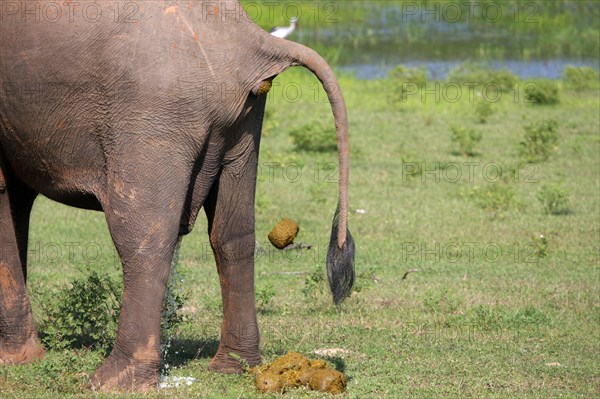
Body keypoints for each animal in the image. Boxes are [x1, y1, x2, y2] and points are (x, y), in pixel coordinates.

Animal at [0, 0, 354, 394]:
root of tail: (250, 37)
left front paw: (15, 361)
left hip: (152, 109)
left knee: (141, 236)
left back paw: (109, 383)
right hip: (240, 120)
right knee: (232, 234)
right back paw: (233, 367)